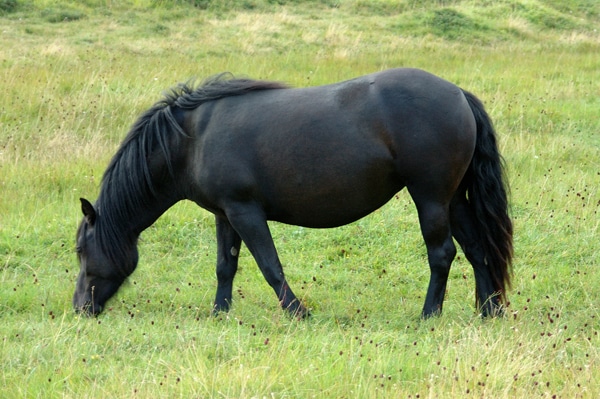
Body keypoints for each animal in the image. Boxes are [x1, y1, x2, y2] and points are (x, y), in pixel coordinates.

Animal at [72, 68, 512, 318]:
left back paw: (429, 315)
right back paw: (488, 311)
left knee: (442, 254)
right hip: (452, 199)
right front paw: (219, 314)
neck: (192, 138)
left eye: (81, 251)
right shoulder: (224, 214)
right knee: (477, 249)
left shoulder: (246, 212)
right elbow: (225, 266)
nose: (80, 308)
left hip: (430, 198)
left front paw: (298, 313)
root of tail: (458, 94)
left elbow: (270, 266)